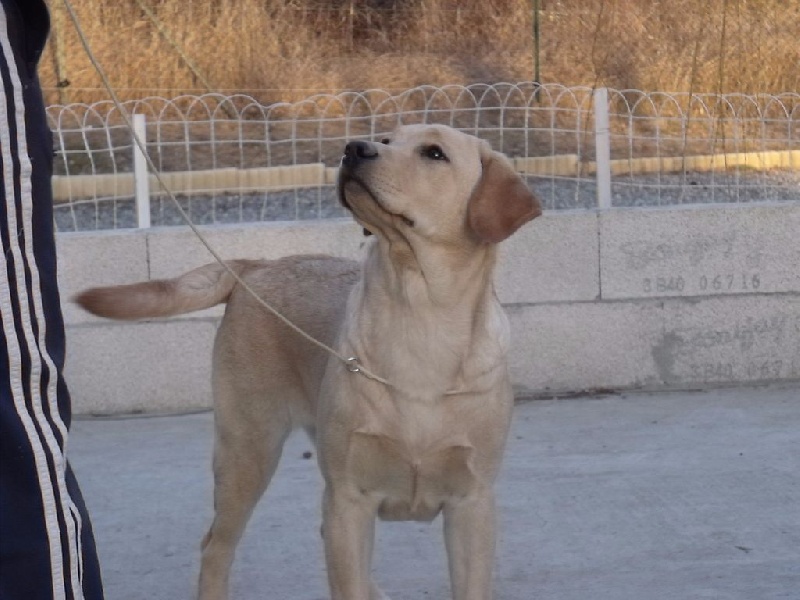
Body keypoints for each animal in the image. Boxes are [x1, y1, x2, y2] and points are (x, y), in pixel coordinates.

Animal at [76, 124, 544, 596]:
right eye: (387, 139)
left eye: (434, 153)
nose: (354, 148)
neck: (419, 319)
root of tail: (254, 266)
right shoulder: (348, 497)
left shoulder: (472, 505)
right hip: (248, 451)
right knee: (215, 547)